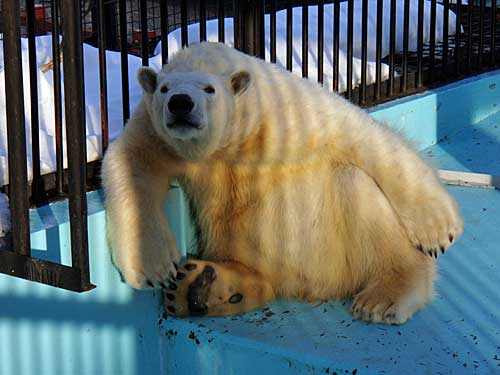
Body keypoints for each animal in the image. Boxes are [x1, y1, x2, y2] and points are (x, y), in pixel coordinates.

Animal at [99, 41, 462, 326]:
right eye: (164, 89)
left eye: (208, 89)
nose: (180, 104)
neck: (237, 139)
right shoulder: (154, 132)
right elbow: (130, 165)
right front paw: (156, 268)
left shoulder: (289, 111)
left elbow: (365, 139)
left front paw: (439, 230)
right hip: (237, 243)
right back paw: (200, 287)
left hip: (337, 249)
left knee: (356, 188)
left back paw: (383, 297)